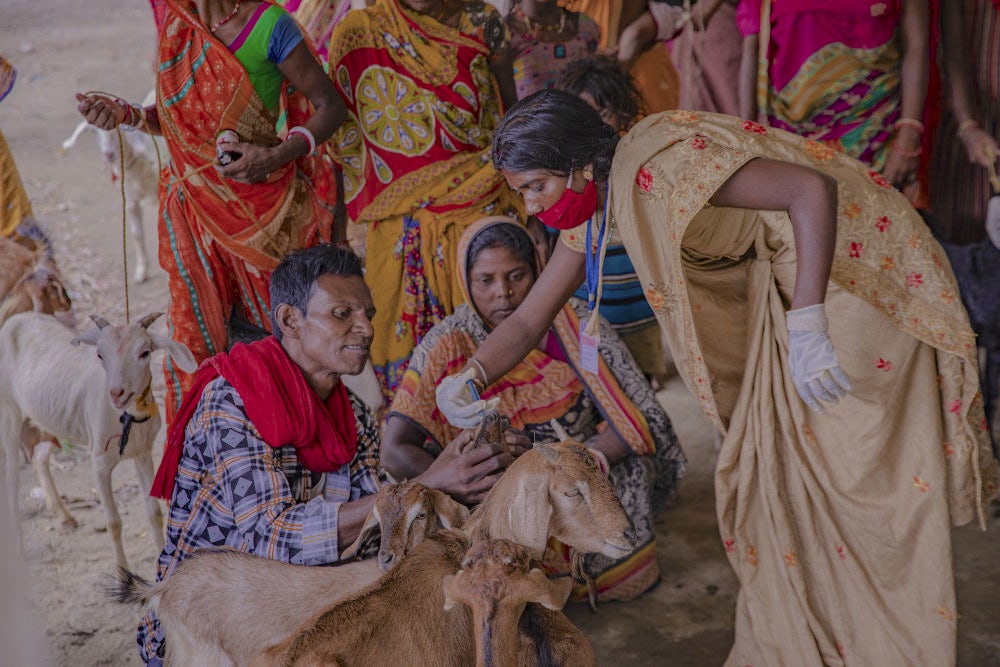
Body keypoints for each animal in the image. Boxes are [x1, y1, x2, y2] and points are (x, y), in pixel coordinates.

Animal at [0, 314, 197, 568]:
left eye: (145, 353)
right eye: (100, 354)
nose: (117, 393)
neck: (126, 416)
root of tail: (14, 318)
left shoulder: (143, 453)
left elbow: (154, 513)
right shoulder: (100, 463)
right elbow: (113, 523)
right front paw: (123, 571)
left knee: (39, 458)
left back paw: (65, 516)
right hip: (9, 410)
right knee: (11, 474)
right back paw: (18, 547)